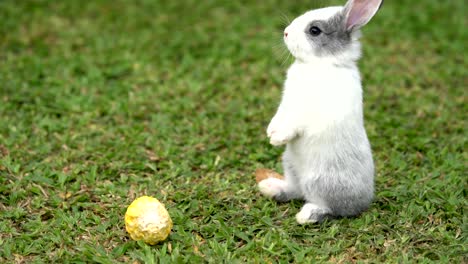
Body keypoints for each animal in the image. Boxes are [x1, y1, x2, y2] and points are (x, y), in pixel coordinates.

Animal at [258, 0, 382, 225]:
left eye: (314, 30)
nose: (286, 32)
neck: (321, 63)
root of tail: (364, 202)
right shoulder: (286, 103)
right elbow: (280, 115)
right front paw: (271, 133)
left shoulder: (304, 113)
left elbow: (294, 124)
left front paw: (277, 139)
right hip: (290, 165)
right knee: (294, 190)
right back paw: (269, 187)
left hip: (321, 182)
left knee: (329, 208)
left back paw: (306, 215)